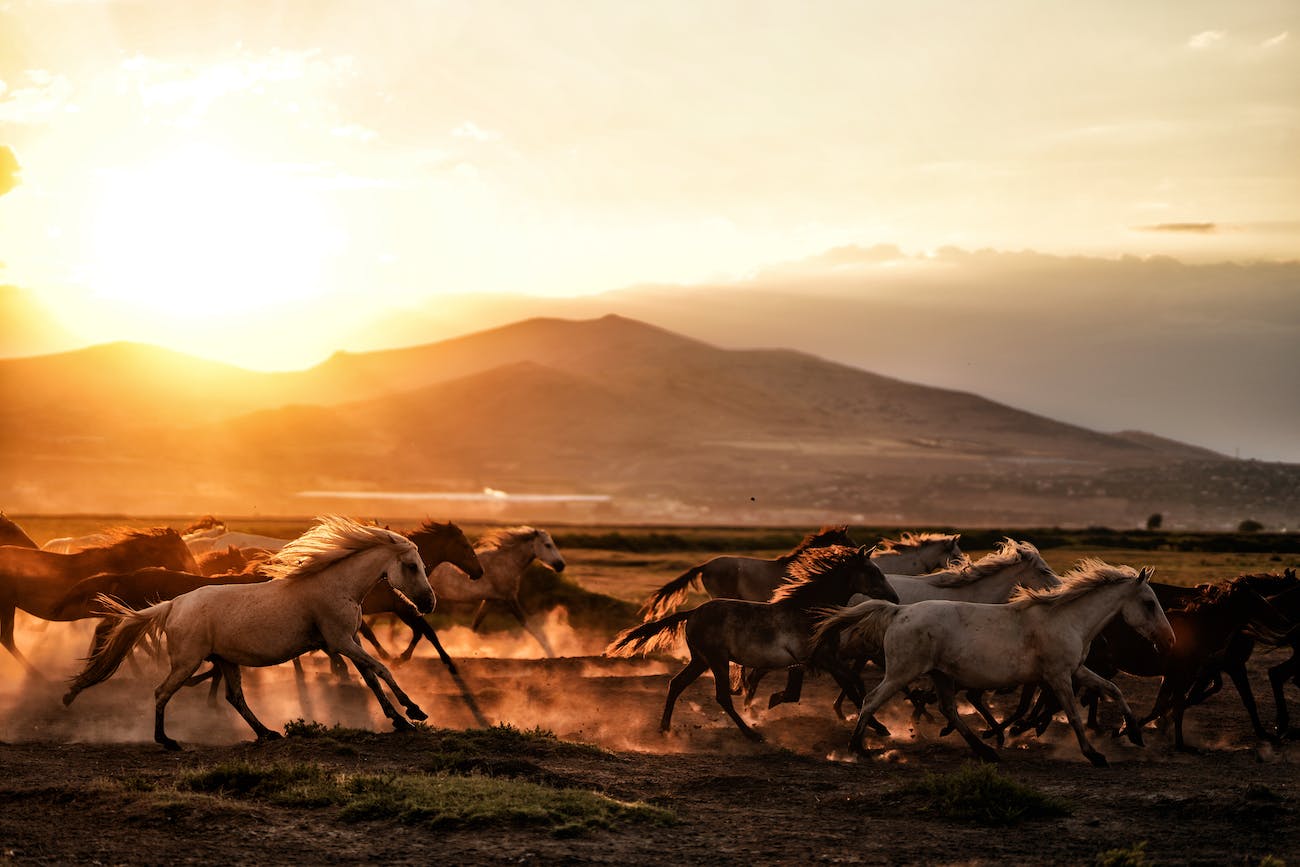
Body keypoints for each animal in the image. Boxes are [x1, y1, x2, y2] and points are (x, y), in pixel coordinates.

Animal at [64, 514, 436, 753]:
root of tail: (172, 606)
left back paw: (267, 732)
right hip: (188, 661)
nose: (429, 603)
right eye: (411, 566)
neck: (335, 585)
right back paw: (168, 741)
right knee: (162, 692)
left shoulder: (349, 641)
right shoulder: (341, 641)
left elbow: (372, 678)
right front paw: (414, 712)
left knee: (235, 698)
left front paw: (400, 720)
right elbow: (382, 670)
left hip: (225, 660)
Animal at [421, 530, 569, 657]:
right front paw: (552, 654)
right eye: (548, 545)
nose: (561, 565)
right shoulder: (510, 598)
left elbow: (475, 626)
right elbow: (532, 627)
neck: (506, 562)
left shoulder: (491, 600)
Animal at [605, 545, 894, 743]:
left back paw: (665, 728)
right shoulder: (823, 659)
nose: (894, 596)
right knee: (721, 696)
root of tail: (693, 612)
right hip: (717, 660)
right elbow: (855, 684)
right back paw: (752, 735)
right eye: (872, 571)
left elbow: (846, 685)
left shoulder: (817, 660)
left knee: (676, 684)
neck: (807, 611)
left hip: (700, 660)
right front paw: (880, 727)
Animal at [821, 558, 1180, 764]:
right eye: (1149, 603)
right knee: (870, 700)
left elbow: (1113, 690)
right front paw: (1094, 754)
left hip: (940, 675)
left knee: (949, 709)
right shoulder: (1058, 677)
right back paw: (857, 748)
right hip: (901, 673)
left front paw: (1134, 733)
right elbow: (1074, 715)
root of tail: (898, 611)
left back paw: (986, 750)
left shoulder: (1076, 670)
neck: (1067, 619)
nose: (1169, 640)